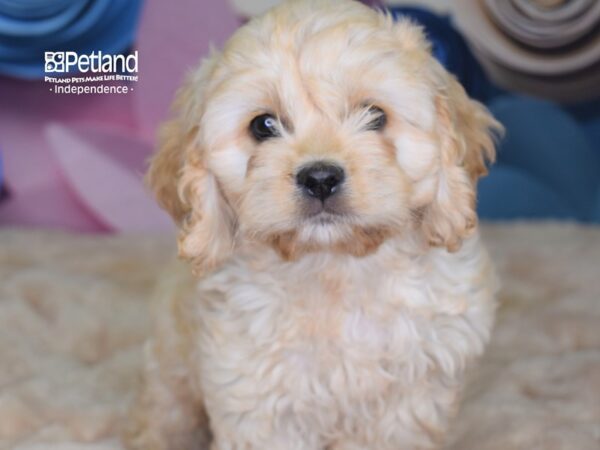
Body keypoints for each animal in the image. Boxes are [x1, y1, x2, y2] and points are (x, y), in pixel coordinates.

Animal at [125, 1, 502, 448]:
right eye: (263, 125)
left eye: (375, 115)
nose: (320, 177)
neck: (336, 264)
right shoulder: (259, 394)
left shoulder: (412, 392)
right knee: (166, 409)